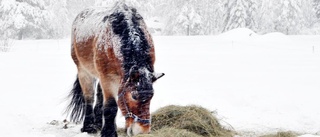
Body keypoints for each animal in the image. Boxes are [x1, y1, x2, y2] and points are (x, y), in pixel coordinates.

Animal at [65, 2, 165, 137]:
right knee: (89, 97)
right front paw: (109, 132)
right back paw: (89, 126)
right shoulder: (108, 78)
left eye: (151, 97)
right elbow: (111, 106)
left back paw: (98, 123)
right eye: (134, 96)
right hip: (84, 72)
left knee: (99, 96)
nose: (142, 131)